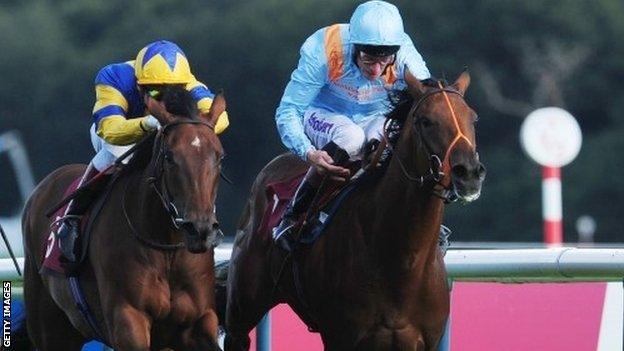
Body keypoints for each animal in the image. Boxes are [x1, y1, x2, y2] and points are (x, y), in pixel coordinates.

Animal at [22, 90, 227, 350]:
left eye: (219, 157)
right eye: (169, 157)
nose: (199, 229)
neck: (166, 248)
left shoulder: (198, 322)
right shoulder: (128, 320)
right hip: (49, 328)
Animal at [227, 72, 486, 351]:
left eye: (473, 118)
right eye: (426, 121)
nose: (469, 173)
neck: (402, 264)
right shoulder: (341, 337)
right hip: (242, 310)